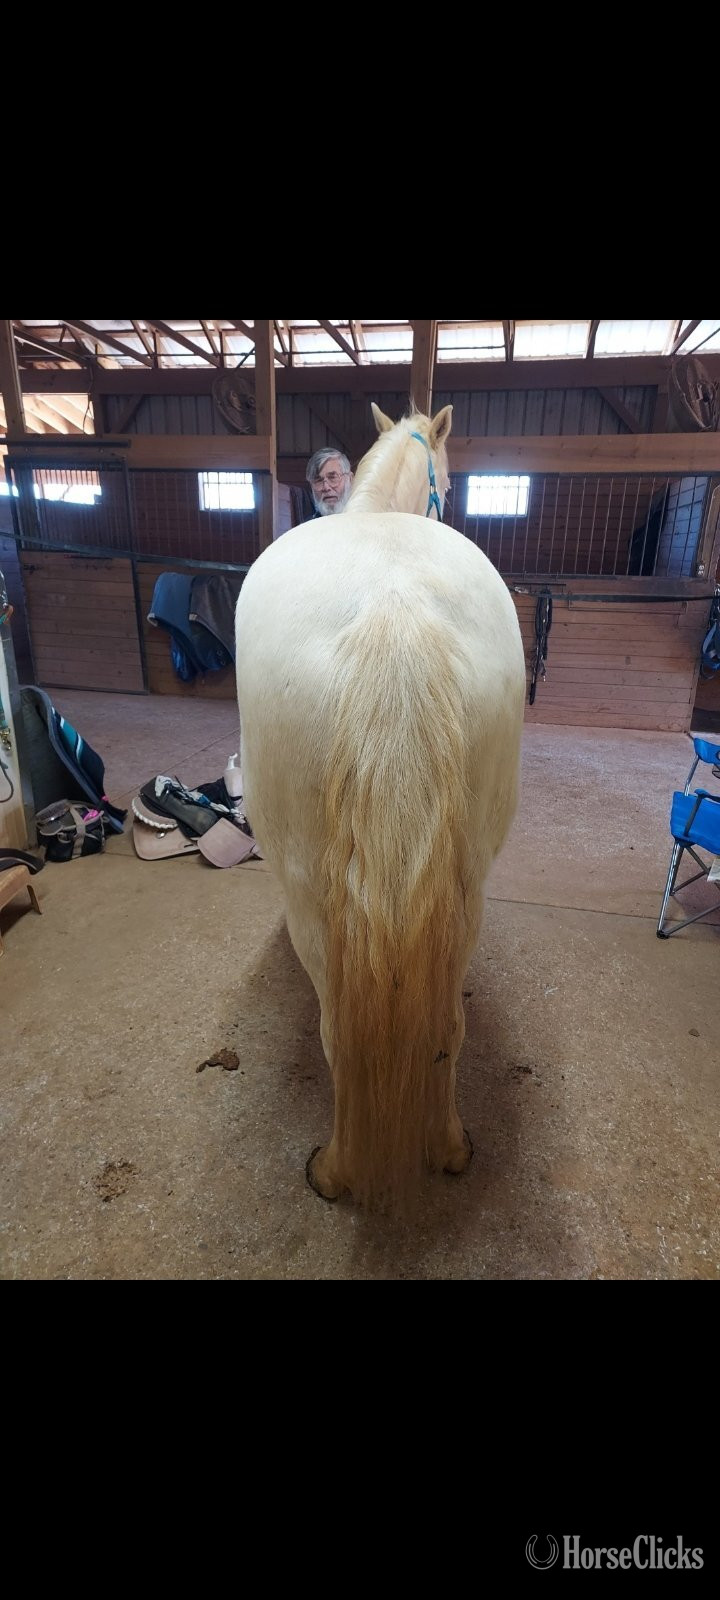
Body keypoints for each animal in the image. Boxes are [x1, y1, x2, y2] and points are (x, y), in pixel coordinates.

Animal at [235, 403, 526, 1210]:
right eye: (448, 484)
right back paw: (451, 1149)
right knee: (447, 1025)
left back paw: (335, 1173)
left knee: (339, 1029)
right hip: (469, 888)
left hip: (313, 893)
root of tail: (392, 610)